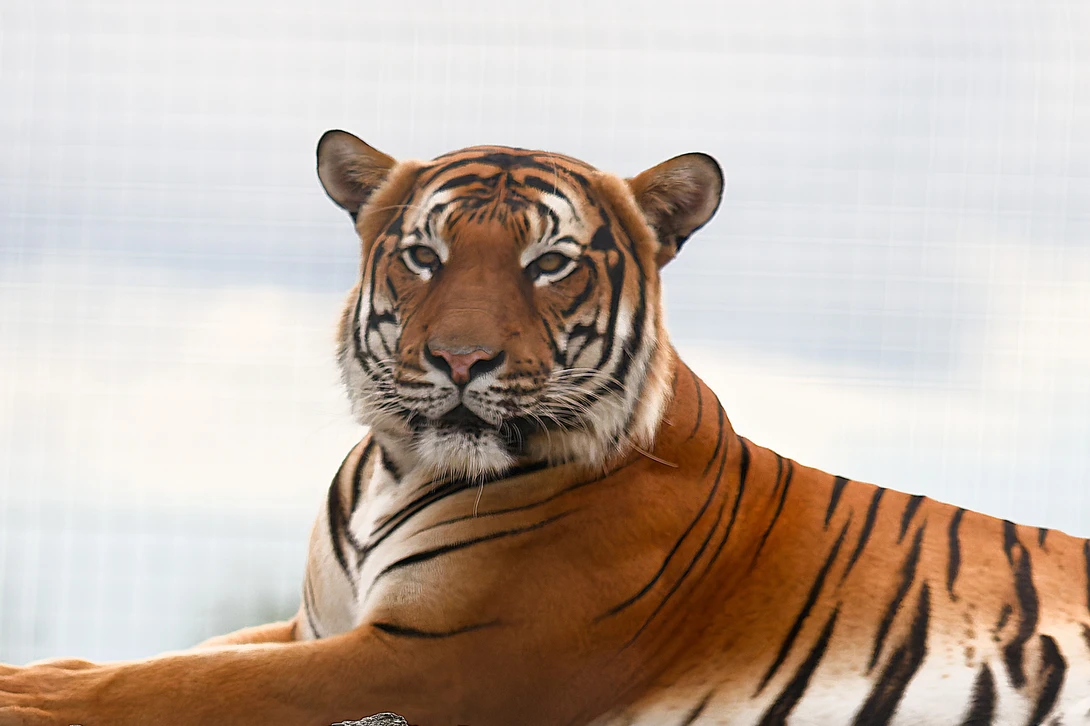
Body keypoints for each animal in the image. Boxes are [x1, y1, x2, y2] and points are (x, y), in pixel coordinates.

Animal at [3, 130, 1090, 726]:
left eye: (549, 264)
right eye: (425, 255)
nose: (461, 361)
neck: (398, 466)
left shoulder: (438, 658)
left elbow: (186, 686)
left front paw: (26, 697)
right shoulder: (321, 624)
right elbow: (158, 659)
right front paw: (37, 670)